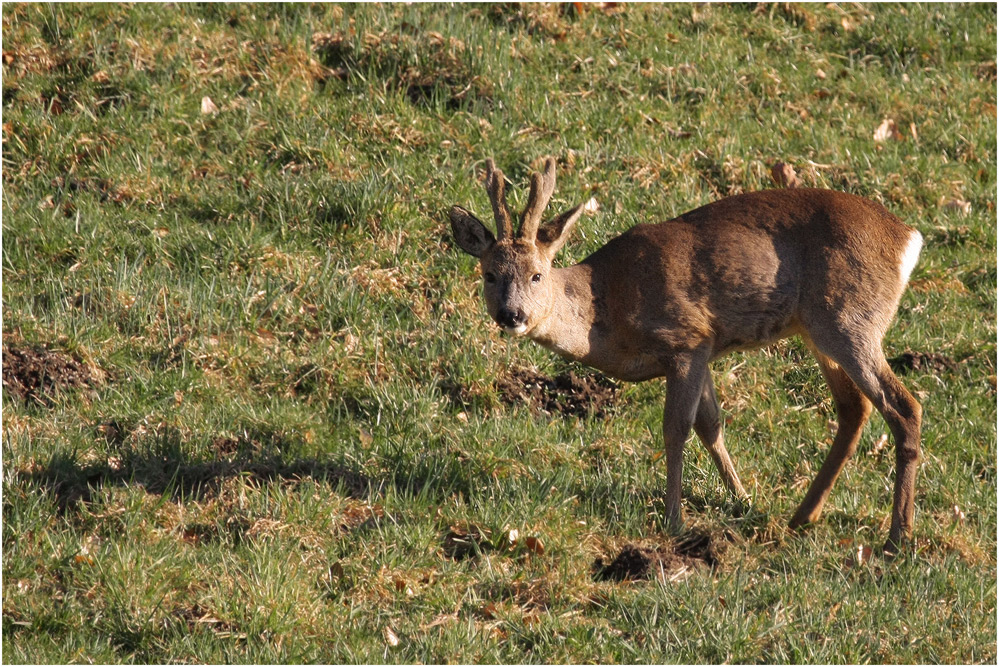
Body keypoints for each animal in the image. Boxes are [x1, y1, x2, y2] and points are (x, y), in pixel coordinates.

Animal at [450, 157, 924, 552]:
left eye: (536, 274)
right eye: (489, 274)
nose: (511, 315)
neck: (607, 306)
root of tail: (908, 238)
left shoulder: (685, 337)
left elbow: (676, 428)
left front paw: (673, 519)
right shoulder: (706, 347)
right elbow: (710, 424)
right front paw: (743, 500)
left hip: (849, 319)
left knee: (904, 406)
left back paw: (897, 538)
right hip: (819, 330)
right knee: (854, 408)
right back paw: (802, 517)